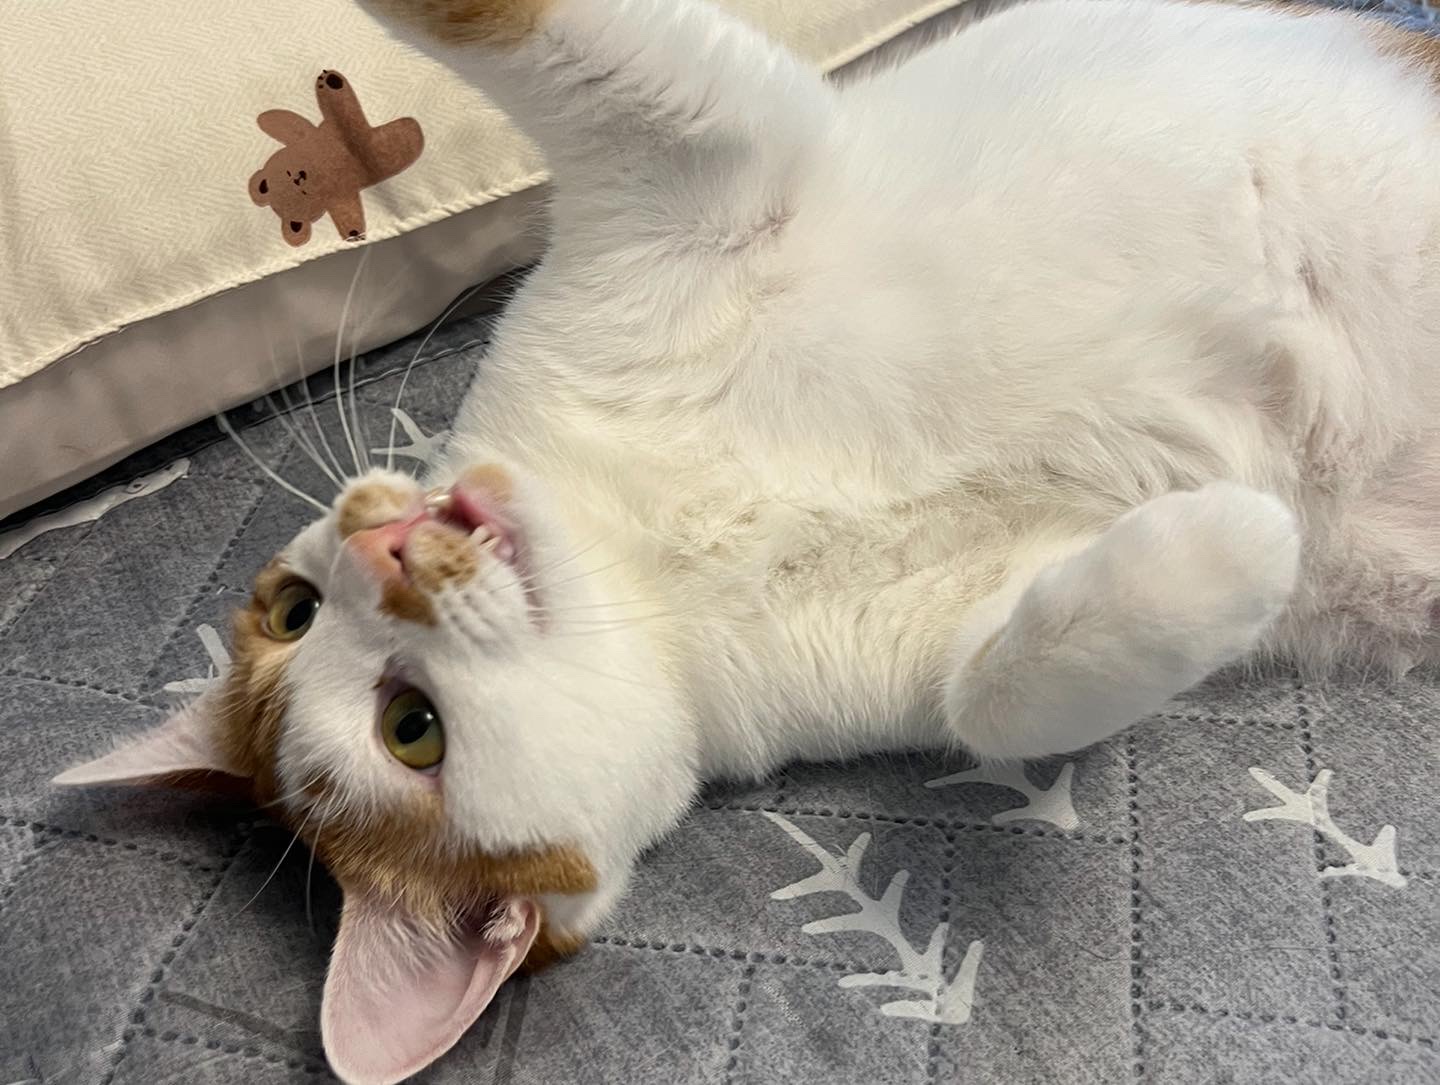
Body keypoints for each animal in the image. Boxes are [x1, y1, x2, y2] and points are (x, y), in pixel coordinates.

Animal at [54, 0, 1440, 1081]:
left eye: (289, 605)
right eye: (412, 730)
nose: (378, 549)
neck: (656, 537)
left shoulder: (703, 160)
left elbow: (501, 23)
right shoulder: (944, 643)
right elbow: (1005, 693)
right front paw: (1240, 541)